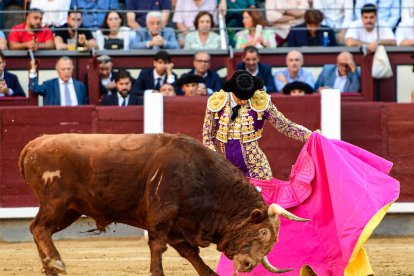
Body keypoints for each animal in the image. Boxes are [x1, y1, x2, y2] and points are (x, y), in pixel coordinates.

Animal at [20, 133, 308, 274]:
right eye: (263, 232)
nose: (248, 265)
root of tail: (33, 144)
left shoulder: (181, 227)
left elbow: (191, 255)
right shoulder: (162, 214)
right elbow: (157, 246)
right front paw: (157, 273)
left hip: (69, 209)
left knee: (40, 230)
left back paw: (51, 268)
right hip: (57, 201)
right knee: (38, 228)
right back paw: (56, 264)